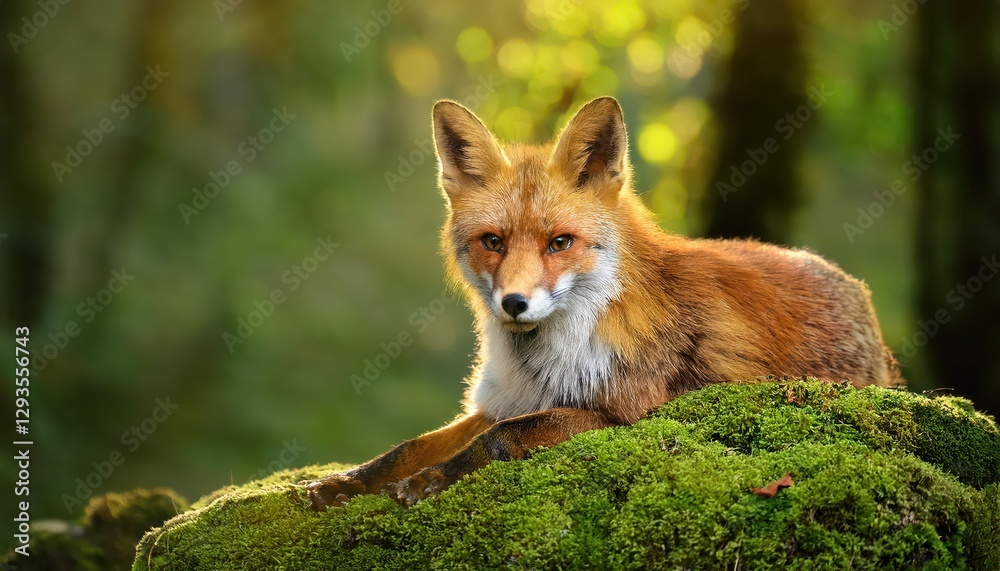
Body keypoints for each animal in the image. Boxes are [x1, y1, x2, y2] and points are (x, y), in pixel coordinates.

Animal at [307, 96, 901, 509]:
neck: (540, 364)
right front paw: (344, 483)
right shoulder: (503, 401)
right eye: (493, 241)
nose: (514, 303)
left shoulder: (623, 414)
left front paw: (430, 480)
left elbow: (498, 441)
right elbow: (405, 447)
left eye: (559, 243)